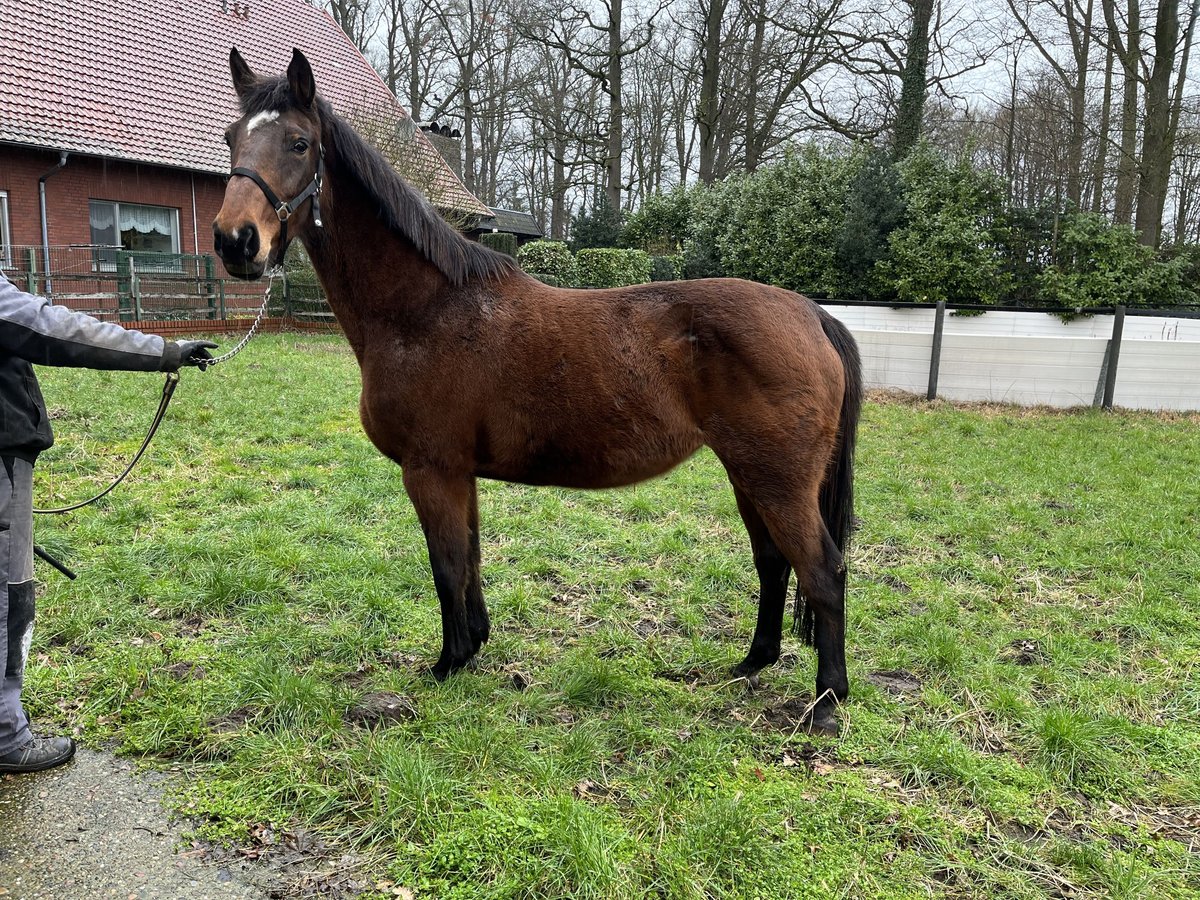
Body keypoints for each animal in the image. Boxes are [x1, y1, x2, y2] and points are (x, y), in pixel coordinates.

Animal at [208, 49, 864, 734]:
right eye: (230, 137)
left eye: (299, 142)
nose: (235, 241)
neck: (427, 309)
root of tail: (812, 314)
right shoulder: (459, 472)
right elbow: (469, 559)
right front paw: (472, 646)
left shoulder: (430, 469)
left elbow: (446, 564)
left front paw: (447, 664)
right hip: (749, 473)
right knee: (773, 562)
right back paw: (752, 663)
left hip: (776, 480)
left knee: (822, 571)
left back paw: (826, 702)